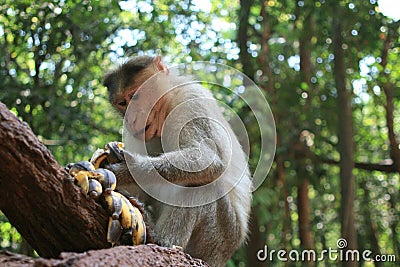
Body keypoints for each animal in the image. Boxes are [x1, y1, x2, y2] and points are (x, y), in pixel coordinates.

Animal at [103, 55, 253, 267]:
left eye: (135, 96)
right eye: (122, 102)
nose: (132, 119)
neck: (167, 105)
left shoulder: (190, 101)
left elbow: (208, 159)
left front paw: (128, 168)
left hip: (220, 239)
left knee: (205, 186)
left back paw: (161, 239)